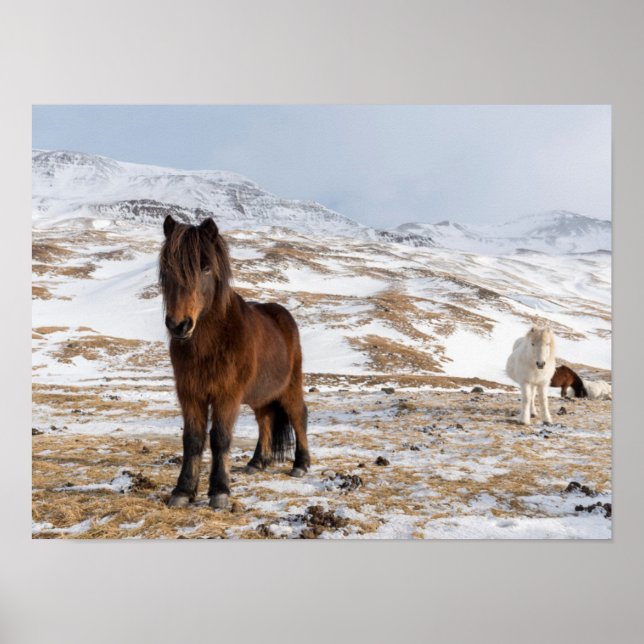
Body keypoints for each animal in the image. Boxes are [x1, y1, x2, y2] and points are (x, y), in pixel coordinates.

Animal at [159, 215, 310, 510]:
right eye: (167, 267)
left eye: (206, 268)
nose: (179, 325)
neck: (209, 343)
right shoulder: (189, 394)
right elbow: (192, 440)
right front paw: (183, 491)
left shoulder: (226, 395)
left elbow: (220, 438)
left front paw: (219, 492)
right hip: (261, 396)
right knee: (266, 420)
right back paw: (257, 462)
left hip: (289, 387)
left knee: (299, 416)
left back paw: (301, 465)